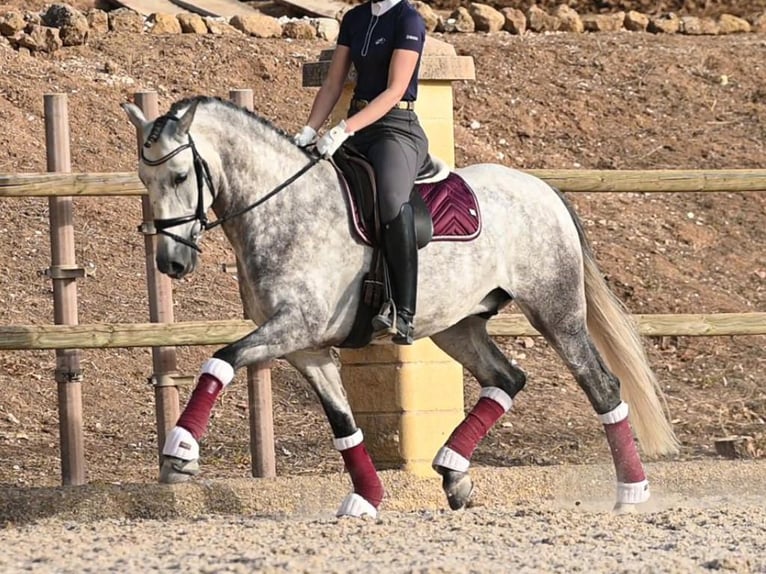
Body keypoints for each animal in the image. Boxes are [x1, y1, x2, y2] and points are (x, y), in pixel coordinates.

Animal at [122, 95, 678, 518]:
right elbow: (344, 424)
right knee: (506, 378)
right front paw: (366, 498)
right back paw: (454, 474)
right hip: (456, 326)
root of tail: (541, 188)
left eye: (178, 176)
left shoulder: (292, 327)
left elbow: (219, 360)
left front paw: (180, 453)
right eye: (145, 181)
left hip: (556, 313)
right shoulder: (306, 348)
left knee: (602, 386)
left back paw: (632, 492)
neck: (286, 207)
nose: (171, 262)